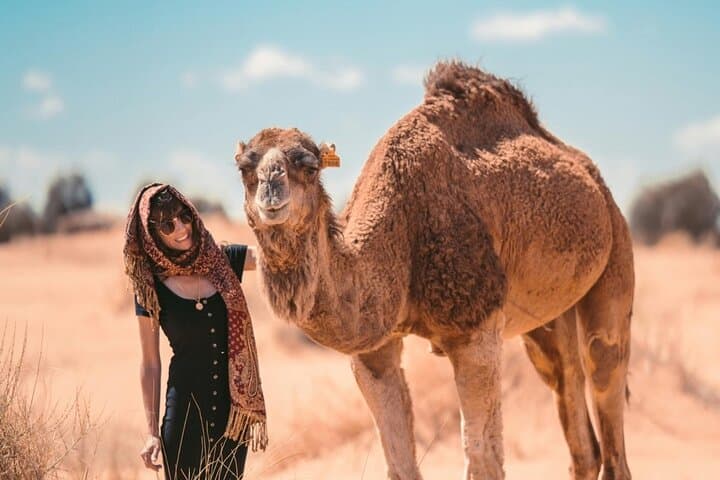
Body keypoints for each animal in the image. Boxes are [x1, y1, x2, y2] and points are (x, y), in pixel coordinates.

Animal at [233, 61, 633, 480]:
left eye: (308, 167)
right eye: (244, 167)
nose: (271, 190)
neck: (399, 230)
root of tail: (591, 175)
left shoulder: (475, 328)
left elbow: (483, 459)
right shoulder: (374, 350)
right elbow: (399, 464)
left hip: (616, 254)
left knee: (604, 369)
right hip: (546, 321)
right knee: (571, 400)